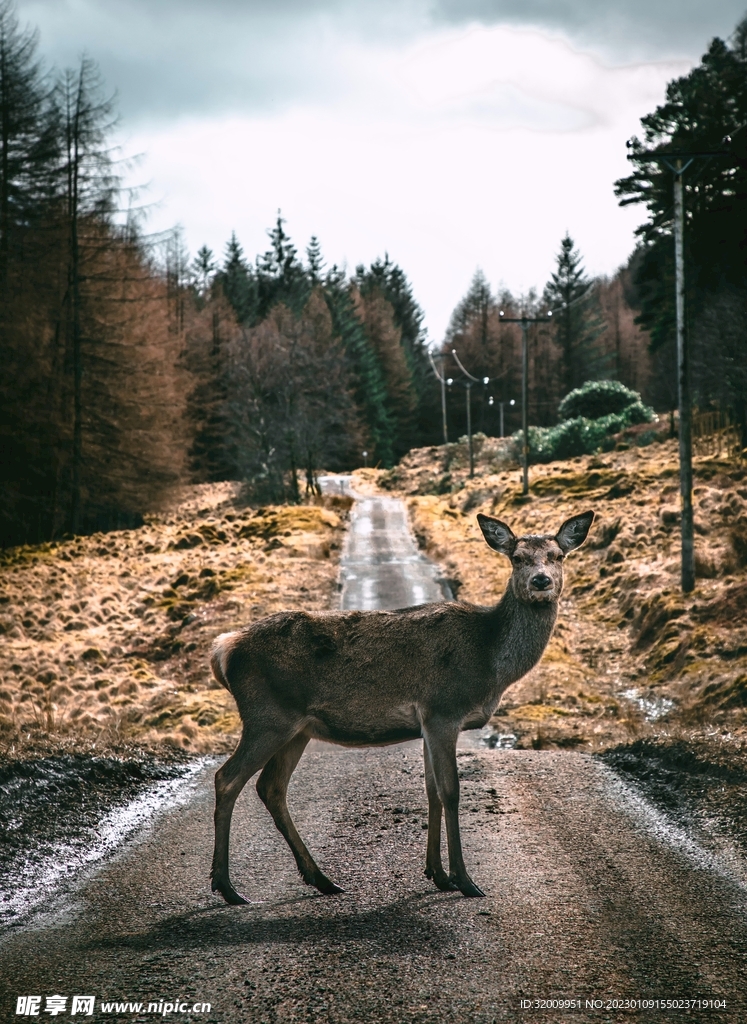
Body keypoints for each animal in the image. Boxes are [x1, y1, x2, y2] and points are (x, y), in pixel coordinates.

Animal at [209, 509, 594, 903]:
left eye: (558, 556)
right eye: (517, 558)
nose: (541, 581)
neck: (488, 661)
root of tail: (223, 649)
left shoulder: (426, 722)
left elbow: (431, 792)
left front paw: (437, 874)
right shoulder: (443, 709)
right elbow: (451, 792)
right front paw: (464, 880)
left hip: (296, 728)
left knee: (271, 787)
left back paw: (321, 878)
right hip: (267, 716)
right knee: (228, 778)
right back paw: (227, 886)